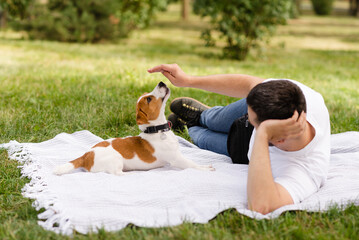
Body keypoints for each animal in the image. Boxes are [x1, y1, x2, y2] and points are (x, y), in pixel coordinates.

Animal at [54, 81, 214, 175]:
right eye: (149, 99)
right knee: (117, 173)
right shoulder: (176, 159)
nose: (161, 82)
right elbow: (192, 165)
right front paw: (205, 168)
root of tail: (86, 155)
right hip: (116, 160)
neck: (157, 130)